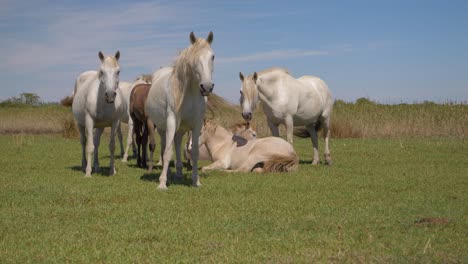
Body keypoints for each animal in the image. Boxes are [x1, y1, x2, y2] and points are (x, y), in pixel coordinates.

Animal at [145, 31, 215, 190]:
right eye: (195, 59)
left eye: (212, 56)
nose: (207, 87)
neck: (189, 93)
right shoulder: (171, 121)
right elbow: (167, 152)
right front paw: (162, 183)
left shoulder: (197, 125)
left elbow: (194, 152)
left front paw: (196, 181)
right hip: (162, 128)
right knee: (165, 147)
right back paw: (167, 174)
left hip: (181, 129)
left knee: (177, 143)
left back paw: (178, 173)